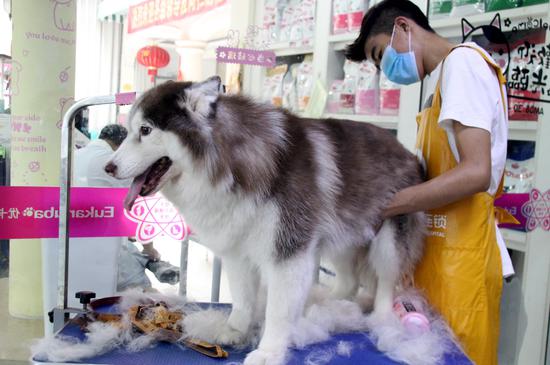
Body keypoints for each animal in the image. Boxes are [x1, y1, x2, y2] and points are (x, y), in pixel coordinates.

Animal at [108, 75, 426, 362]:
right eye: (130, 130)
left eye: (145, 130)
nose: (108, 167)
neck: (230, 163)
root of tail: (407, 151)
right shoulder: (237, 251)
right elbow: (243, 299)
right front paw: (235, 330)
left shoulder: (288, 253)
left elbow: (277, 310)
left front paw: (269, 351)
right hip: (343, 240)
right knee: (349, 280)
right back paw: (329, 303)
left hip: (388, 240)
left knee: (386, 283)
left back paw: (382, 320)